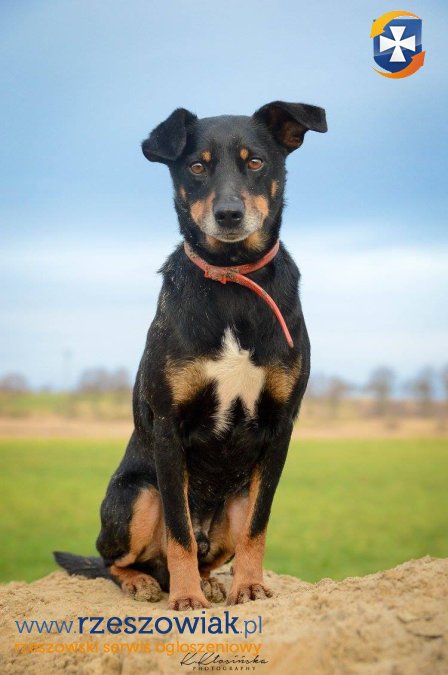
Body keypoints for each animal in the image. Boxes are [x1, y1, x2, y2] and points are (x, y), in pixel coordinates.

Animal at [55, 100, 327, 610]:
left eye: (255, 162)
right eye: (197, 167)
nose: (229, 214)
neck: (232, 279)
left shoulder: (281, 425)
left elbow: (259, 527)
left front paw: (249, 587)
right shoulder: (168, 426)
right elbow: (178, 531)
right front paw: (184, 599)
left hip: (231, 506)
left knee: (212, 550)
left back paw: (212, 581)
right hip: (137, 496)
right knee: (116, 559)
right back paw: (146, 583)